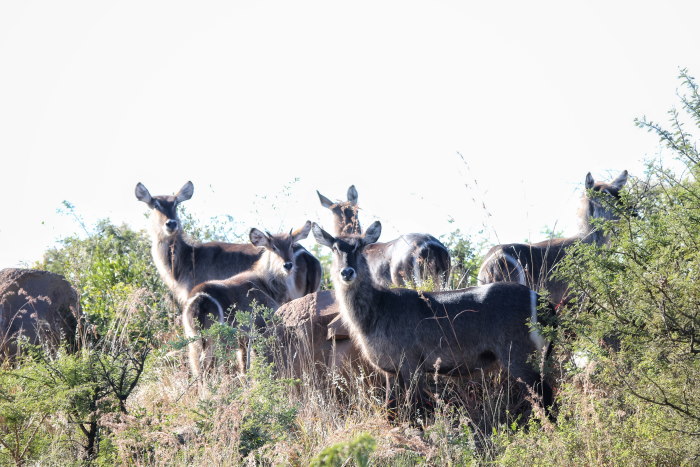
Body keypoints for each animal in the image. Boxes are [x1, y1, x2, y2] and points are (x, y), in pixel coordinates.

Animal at [183, 221, 312, 378]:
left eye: (291, 245)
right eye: (273, 247)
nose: (288, 265)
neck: (265, 283)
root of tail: (199, 298)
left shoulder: (242, 341)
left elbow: (244, 366)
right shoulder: (259, 330)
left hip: (194, 342)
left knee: (198, 369)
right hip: (214, 342)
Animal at [314, 222, 556, 414]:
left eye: (359, 247)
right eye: (335, 248)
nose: (347, 272)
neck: (377, 310)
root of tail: (542, 301)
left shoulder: (411, 365)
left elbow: (415, 408)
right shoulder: (390, 371)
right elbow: (390, 409)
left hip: (519, 357)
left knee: (545, 397)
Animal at [476, 171, 628, 308]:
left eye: (618, 191)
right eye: (604, 194)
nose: (630, 209)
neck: (585, 240)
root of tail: (491, 261)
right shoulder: (575, 297)